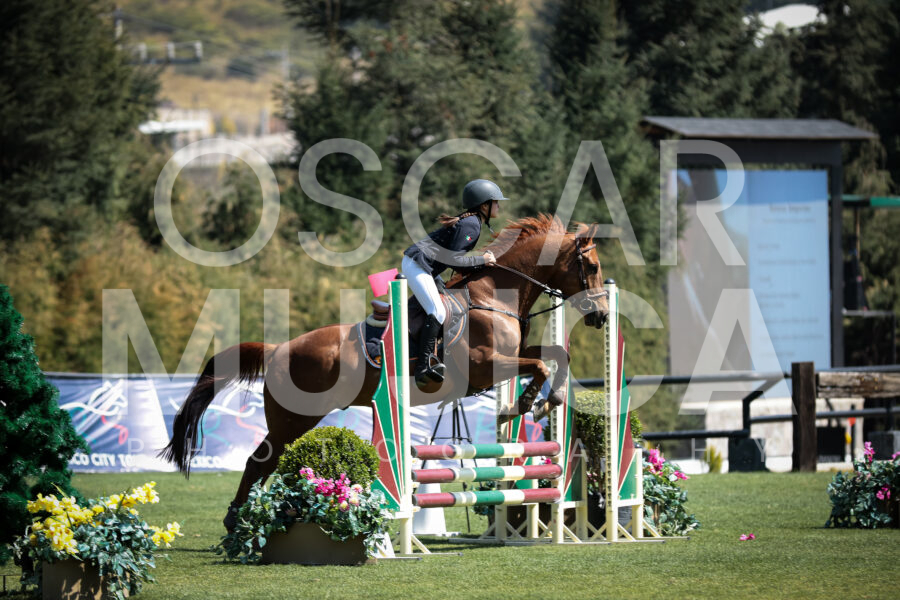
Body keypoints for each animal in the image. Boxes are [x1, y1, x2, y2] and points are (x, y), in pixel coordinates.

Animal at [159, 215, 610, 530]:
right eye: (590, 266)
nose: (603, 315)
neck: (495, 295)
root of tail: (278, 349)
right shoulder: (486, 366)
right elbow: (539, 364)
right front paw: (530, 402)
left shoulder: (510, 355)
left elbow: (555, 354)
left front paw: (543, 401)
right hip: (294, 417)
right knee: (258, 462)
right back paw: (236, 520)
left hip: (297, 419)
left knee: (266, 463)